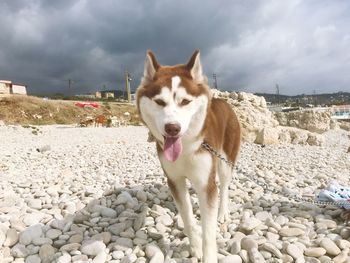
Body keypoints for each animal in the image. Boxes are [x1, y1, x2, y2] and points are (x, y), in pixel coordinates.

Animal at [136, 50, 241, 262]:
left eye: (185, 101)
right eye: (160, 102)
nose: (172, 128)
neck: (184, 149)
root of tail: (222, 101)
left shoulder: (206, 184)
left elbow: (209, 232)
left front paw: (208, 256)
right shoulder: (175, 180)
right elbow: (188, 218)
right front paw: (195, 247)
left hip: (225, 161)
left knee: (225, 185)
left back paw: (222, 212)